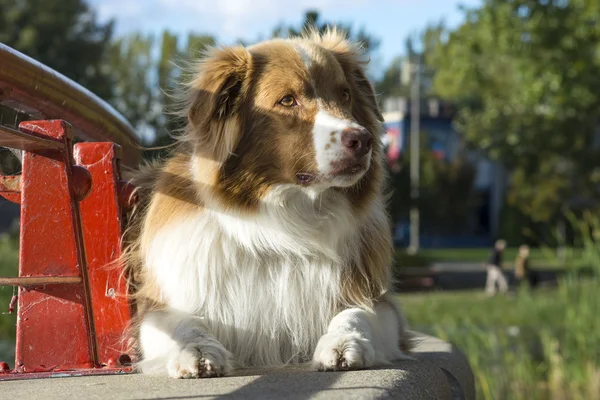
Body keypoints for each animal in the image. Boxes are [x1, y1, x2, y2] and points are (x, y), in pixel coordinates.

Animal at [123, 28, 410, 378]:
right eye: (287, 100)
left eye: (344, 95)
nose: (363, 139)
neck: (282, 226)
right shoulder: (159, 307)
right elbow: (183, 324)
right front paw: (197, 351)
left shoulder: (379, 304)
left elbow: (355, 315)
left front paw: (343, 343)